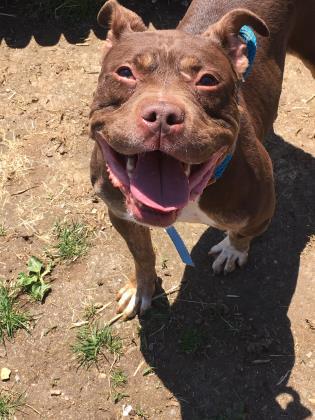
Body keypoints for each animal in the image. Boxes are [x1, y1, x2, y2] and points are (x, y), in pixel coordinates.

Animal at [89, 0, 315, 318]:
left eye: (208, 80)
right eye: (125, 72)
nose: (162, 114)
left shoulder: (260, 214)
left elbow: (242, 235)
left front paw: (233, 250)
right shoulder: (121, 214)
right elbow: (142, 252)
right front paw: (141, 287)